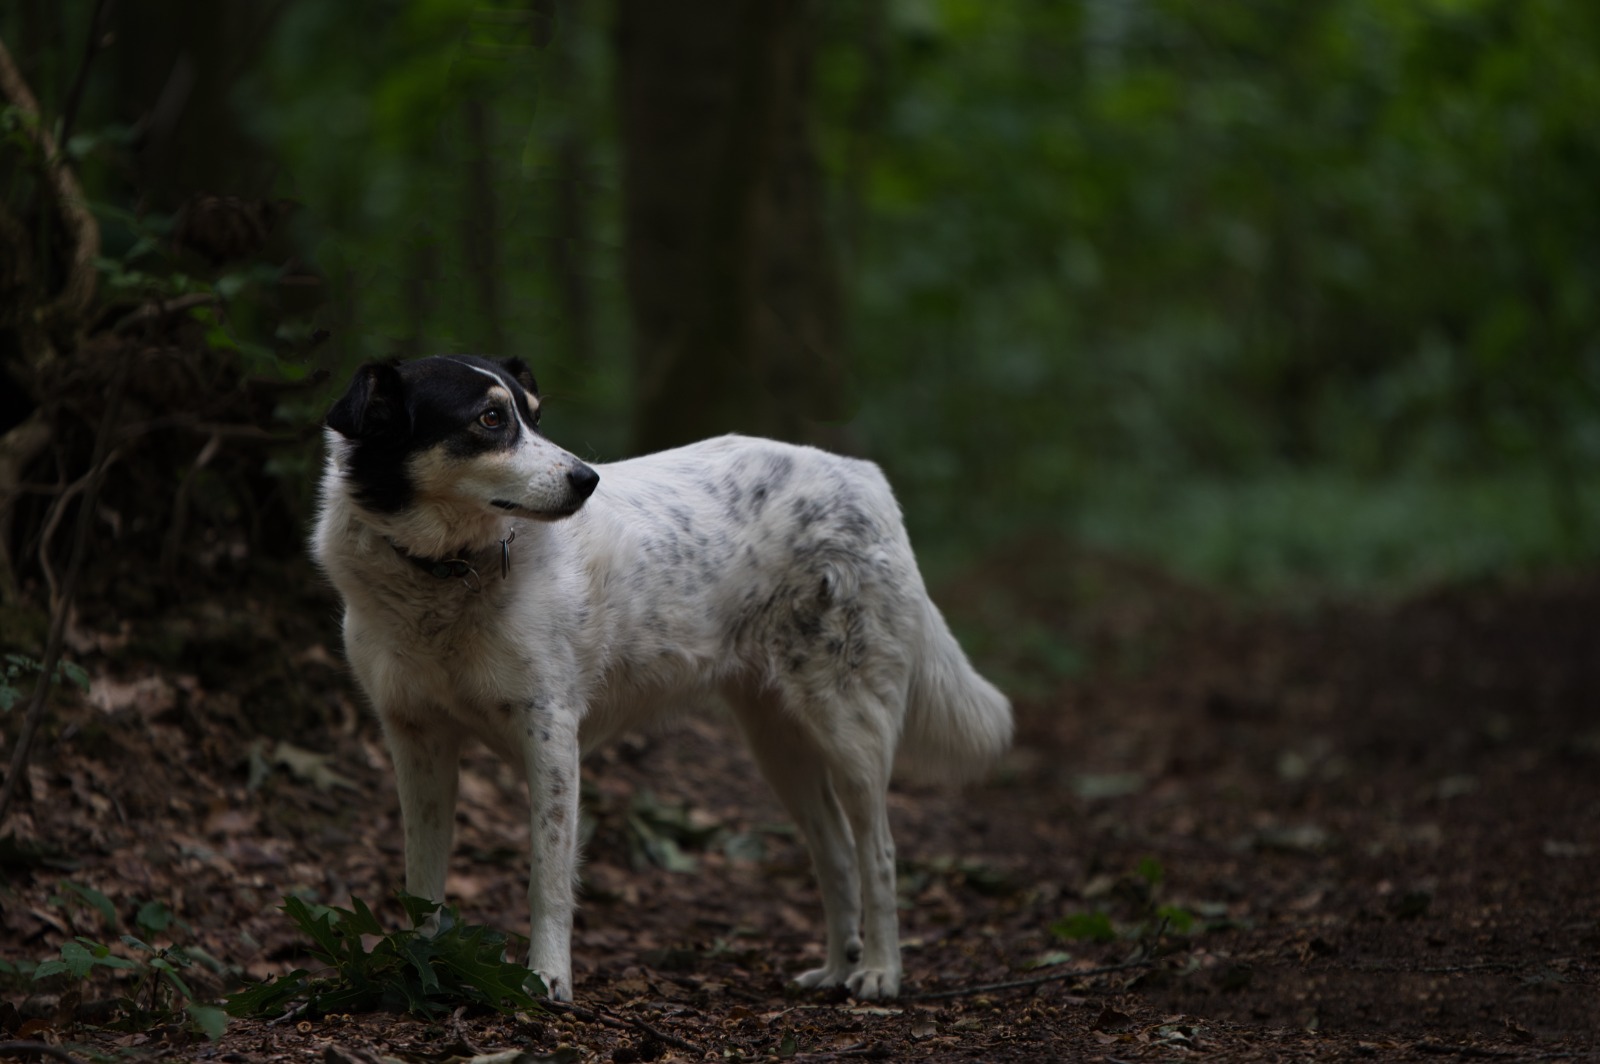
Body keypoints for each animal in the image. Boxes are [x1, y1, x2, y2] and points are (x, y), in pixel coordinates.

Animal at [312, 355, 1011, 998]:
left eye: (534, 415)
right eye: (489, 419)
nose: (588, 479)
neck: (444, 573)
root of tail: (860, 476)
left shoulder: (550, 736)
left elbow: (547, 878)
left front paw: (548, 980)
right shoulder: (416, 740)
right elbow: (421, 881)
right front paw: (416, 967)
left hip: (849, 724)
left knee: (880, 853)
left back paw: (880, 972)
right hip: (777, 741)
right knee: (835, 851)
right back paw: (837, 969)